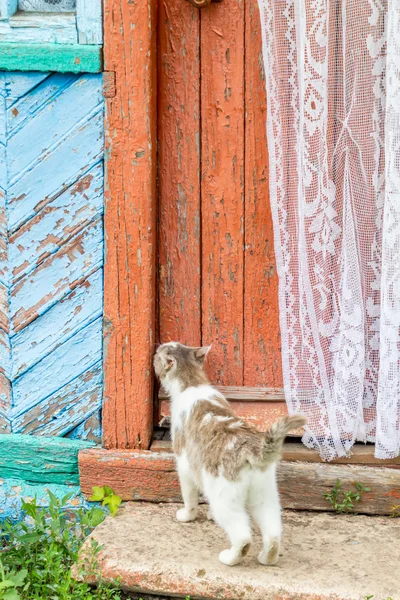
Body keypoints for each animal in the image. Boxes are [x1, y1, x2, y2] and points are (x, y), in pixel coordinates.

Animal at [153, 342, 306, 568]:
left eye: (158, 353)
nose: (155, 350)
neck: (192, 383)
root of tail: (251, 447)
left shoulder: (185, 465)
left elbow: (190, 497)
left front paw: (187, 515)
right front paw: (208, 515)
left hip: (225, 498)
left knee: (243, 536)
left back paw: (230, 557)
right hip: (264, 495)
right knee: (273, 533)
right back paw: (267, 557)